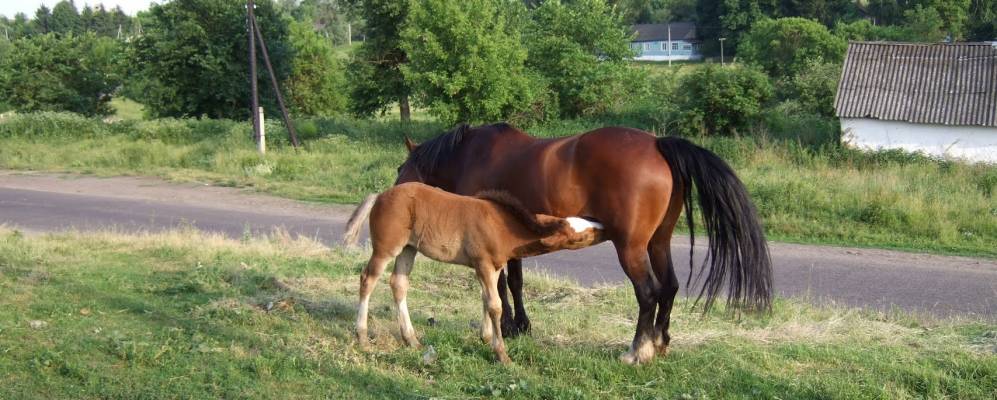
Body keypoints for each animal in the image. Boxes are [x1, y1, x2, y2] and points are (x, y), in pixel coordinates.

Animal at [360, 183, 608, 364]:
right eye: (579, 237)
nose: (603, 225)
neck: (503, 226)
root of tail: (380, 196)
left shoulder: (493, 268)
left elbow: (487, 299)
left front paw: (486, 337)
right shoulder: (484, 264)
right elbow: (495, 305)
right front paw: (501, 354)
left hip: (408, 248)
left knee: (399, 283)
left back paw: (411, 340)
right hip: (387, 248)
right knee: (368, 279)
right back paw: (362, 337)